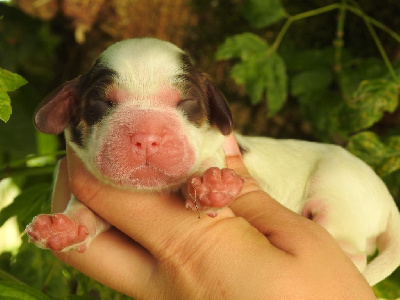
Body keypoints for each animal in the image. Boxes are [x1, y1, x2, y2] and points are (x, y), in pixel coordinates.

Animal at [26, 37, 400, 286]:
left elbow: (208, 163)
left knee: (352, 249)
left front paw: (212, 184)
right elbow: (87, 213)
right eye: (102, 103)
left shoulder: (217, 150)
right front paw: (63, 227)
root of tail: (389, 203)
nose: (147, 136)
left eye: (186, 102)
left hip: (340, 193)